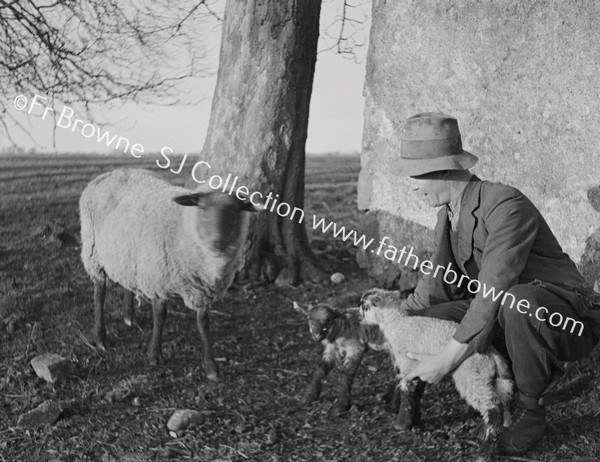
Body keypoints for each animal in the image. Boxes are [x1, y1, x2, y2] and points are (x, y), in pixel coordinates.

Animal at [78, 168, 258, 380]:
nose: (217, 244)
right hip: (94, 253)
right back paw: (100, 338)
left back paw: (129, 317)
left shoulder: (201, 290)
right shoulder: (157, 276)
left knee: (127, 282)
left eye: (235, 211)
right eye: (203, 209)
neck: (183, 227)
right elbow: (160, 315)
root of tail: (112, 172)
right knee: (99, 294)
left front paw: (211, 367)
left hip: (128, 253)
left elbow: (203, 323)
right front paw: (154, 355)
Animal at [358, 286, 512, 460]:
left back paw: (486, 450)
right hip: (494, 379)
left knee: (492, 408)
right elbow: (408, 384)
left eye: (364, 306)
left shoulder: (409, 362)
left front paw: (402, 423)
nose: (357, 313)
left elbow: (407, 387)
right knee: (504, 402)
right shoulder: (413, 364)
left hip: (471, 376)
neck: (398, 324)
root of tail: (492, 353)